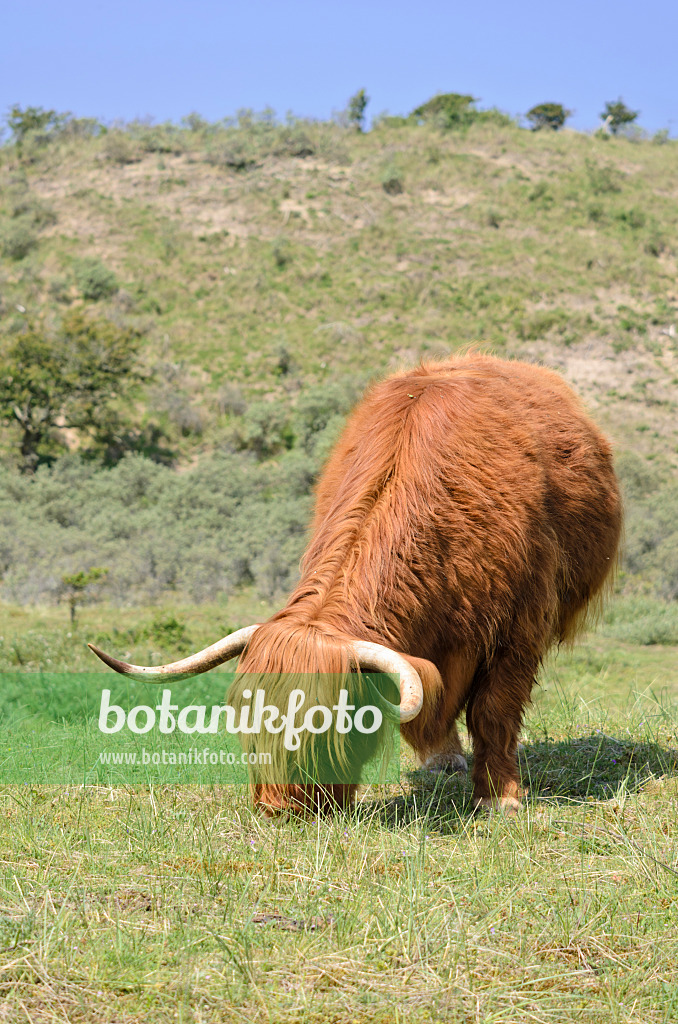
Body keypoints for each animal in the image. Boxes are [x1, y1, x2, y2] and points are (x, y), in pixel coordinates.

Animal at [91, 358, 626, 815]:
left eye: (326, 724)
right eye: (246, 722)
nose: (278, 808)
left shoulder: (521, 626)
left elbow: (494, 710)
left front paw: (500, 797)